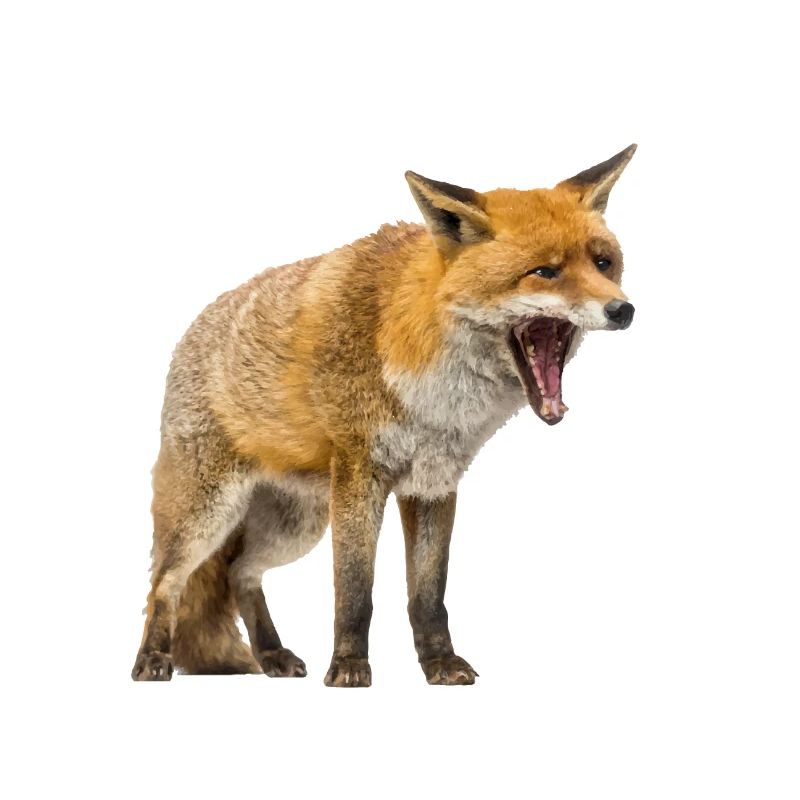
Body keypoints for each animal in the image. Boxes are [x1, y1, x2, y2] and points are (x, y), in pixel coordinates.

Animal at [132, 145, 637, 686]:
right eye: (545, 271)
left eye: (604, 264)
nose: (623, 310)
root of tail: (196, 326)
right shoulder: (360, 476)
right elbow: (355, 590)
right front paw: (349, 666)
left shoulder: (434, 483)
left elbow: (428, 593)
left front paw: (440, 664)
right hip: (211, 515)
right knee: (165, 582)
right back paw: (152, 659)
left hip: (295, 524)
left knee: (239, 574)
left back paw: (272, 654)